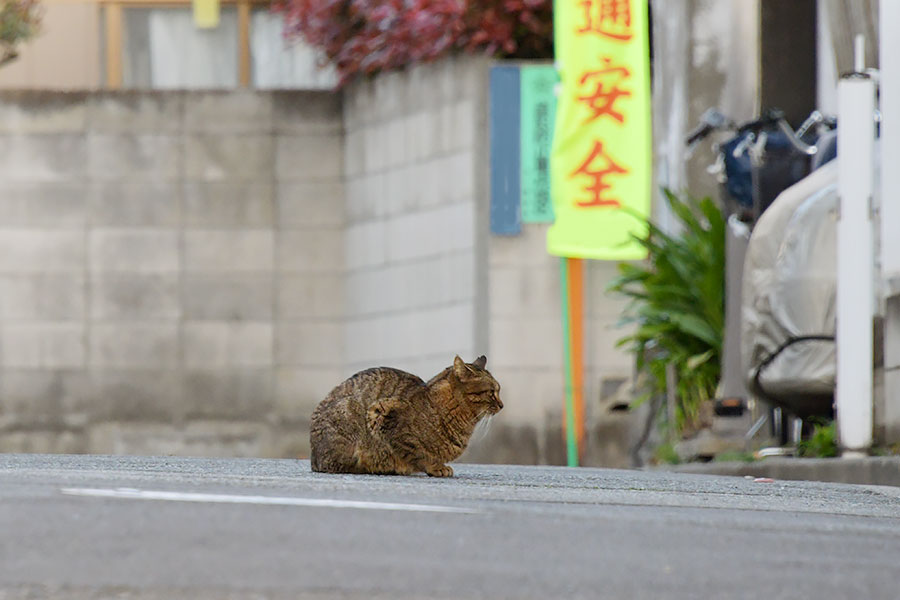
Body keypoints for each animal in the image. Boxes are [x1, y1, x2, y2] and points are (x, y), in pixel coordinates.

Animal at [312, 356, 502, 478]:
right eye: (492, 392)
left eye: (498, 391)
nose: (502, 405)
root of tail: (314, 461)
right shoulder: (381, 413)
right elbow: (417, 453)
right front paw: (435, 467)